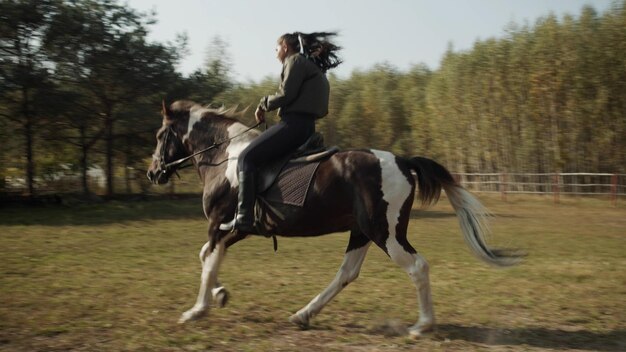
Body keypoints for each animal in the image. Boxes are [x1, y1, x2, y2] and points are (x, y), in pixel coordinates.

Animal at [146, 100, 516, 336]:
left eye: (161, 136)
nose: (153, 172)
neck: (225, 157)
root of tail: (402, 161)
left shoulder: (219, 225)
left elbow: (207, 260)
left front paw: (197, 310)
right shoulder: (235, 229)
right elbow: (207, 258)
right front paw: (220, 295)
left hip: (385, 233)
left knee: (417, 267)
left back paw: (421, 326)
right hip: (362, 232)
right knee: (347, 273)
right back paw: (303, 314)